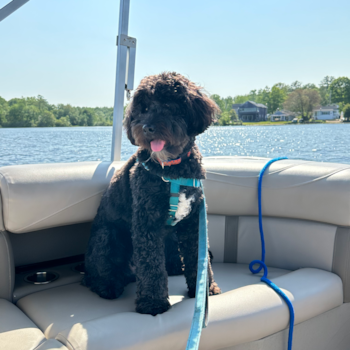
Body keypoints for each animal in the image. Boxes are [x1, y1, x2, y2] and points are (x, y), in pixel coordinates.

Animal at [82, 72, 221, 316]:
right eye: (144, 108)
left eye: (169, 104)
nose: (147, 128)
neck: (171, 170)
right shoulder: (146, 222)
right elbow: (151, 265)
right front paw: (152, 303)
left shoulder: (193, 221)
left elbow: (198, 255)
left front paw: (204, 289)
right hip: (107, 236)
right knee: (99, 272)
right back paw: (108, 286)